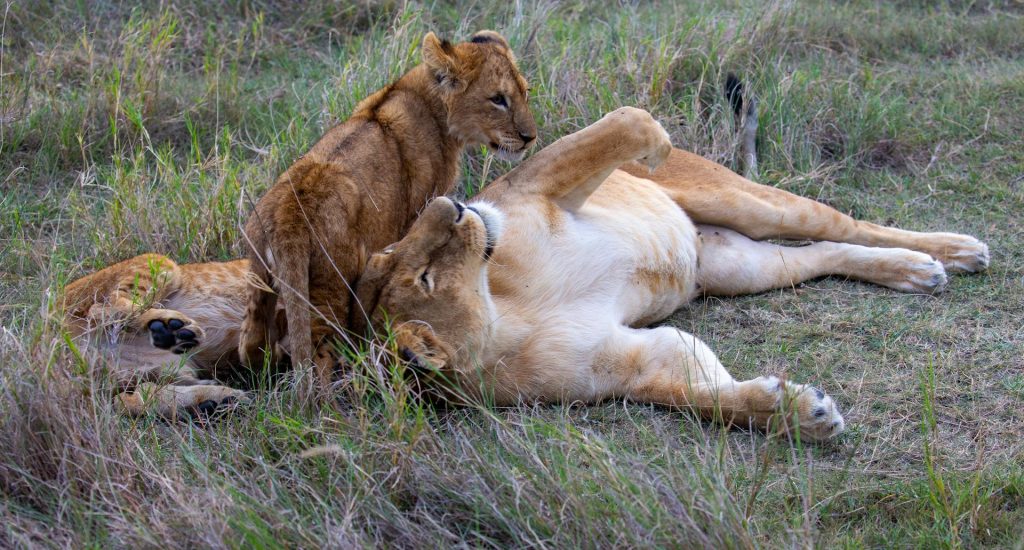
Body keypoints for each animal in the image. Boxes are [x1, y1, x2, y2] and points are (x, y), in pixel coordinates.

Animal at [237, 29, 537, 395]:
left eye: (524, 92)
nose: (529, 138)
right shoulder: (417, 209)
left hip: (259, 279)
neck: (424, 97)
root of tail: (288, 215)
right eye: (497, 99)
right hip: (329, 286)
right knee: (318, 351)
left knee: (251, 341)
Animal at [352, 107, 990, 441]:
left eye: (399, 247)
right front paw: (799, 414)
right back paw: (917, 273)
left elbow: (621, 124)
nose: (451, 204)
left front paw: (650, 140)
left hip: (746, 203)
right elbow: (701, 396)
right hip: (738, 265)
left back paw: (954, 252)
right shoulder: (629, 363)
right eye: (425, 277)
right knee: (824, 252)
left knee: (849, 224)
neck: (506, 313)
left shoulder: (536, 190)